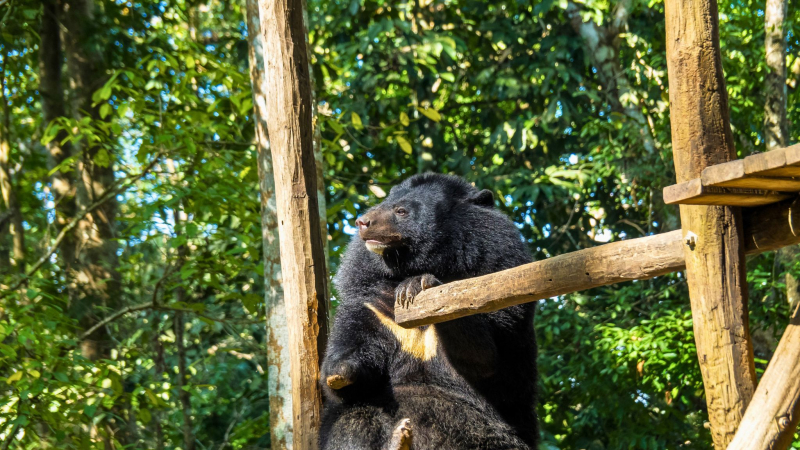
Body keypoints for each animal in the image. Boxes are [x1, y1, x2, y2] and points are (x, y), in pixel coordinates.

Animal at [320, 173, 538, 449]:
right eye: (382, 204)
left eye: (401, 211)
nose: (362, 222)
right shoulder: (371, 304)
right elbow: (345, 379)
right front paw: (339, 371)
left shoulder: (497, 279)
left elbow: (485, 358)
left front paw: (419, 285)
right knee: (353, 419)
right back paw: (396, 440)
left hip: (486, 434)